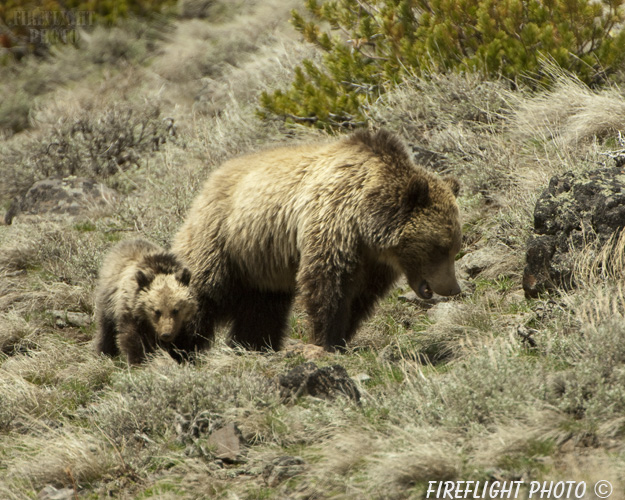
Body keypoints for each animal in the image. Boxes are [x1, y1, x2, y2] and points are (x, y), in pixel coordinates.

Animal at [173, 129, 460, 352]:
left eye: (455, 247)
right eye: (439, 247)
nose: (453, 288)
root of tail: (208, 183)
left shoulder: (373, 263)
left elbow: (359, 299)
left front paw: (343, 337)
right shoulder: (333, 225)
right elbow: (327, 284)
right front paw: (327, 340)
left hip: (261, 268)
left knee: (262, 311)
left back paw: (253, 345)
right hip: (224, 241)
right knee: (203, 292)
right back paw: (182, 346)